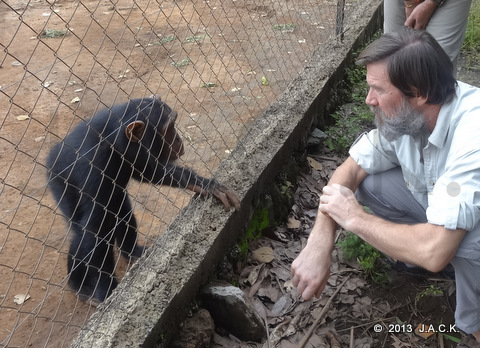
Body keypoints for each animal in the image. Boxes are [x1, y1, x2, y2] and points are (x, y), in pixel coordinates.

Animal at [47, 95, 240, 304]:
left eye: (174, 123)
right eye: (169, 128)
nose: (178, 138)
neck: (114, 139)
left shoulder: (136, 153)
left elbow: (150, 171)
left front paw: (204, 184)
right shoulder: (95, 165)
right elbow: (95, 231)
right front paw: (106, 291)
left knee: (123, 213)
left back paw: (133, 253)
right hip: (59, 183)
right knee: (85, 231)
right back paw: (81, 287)